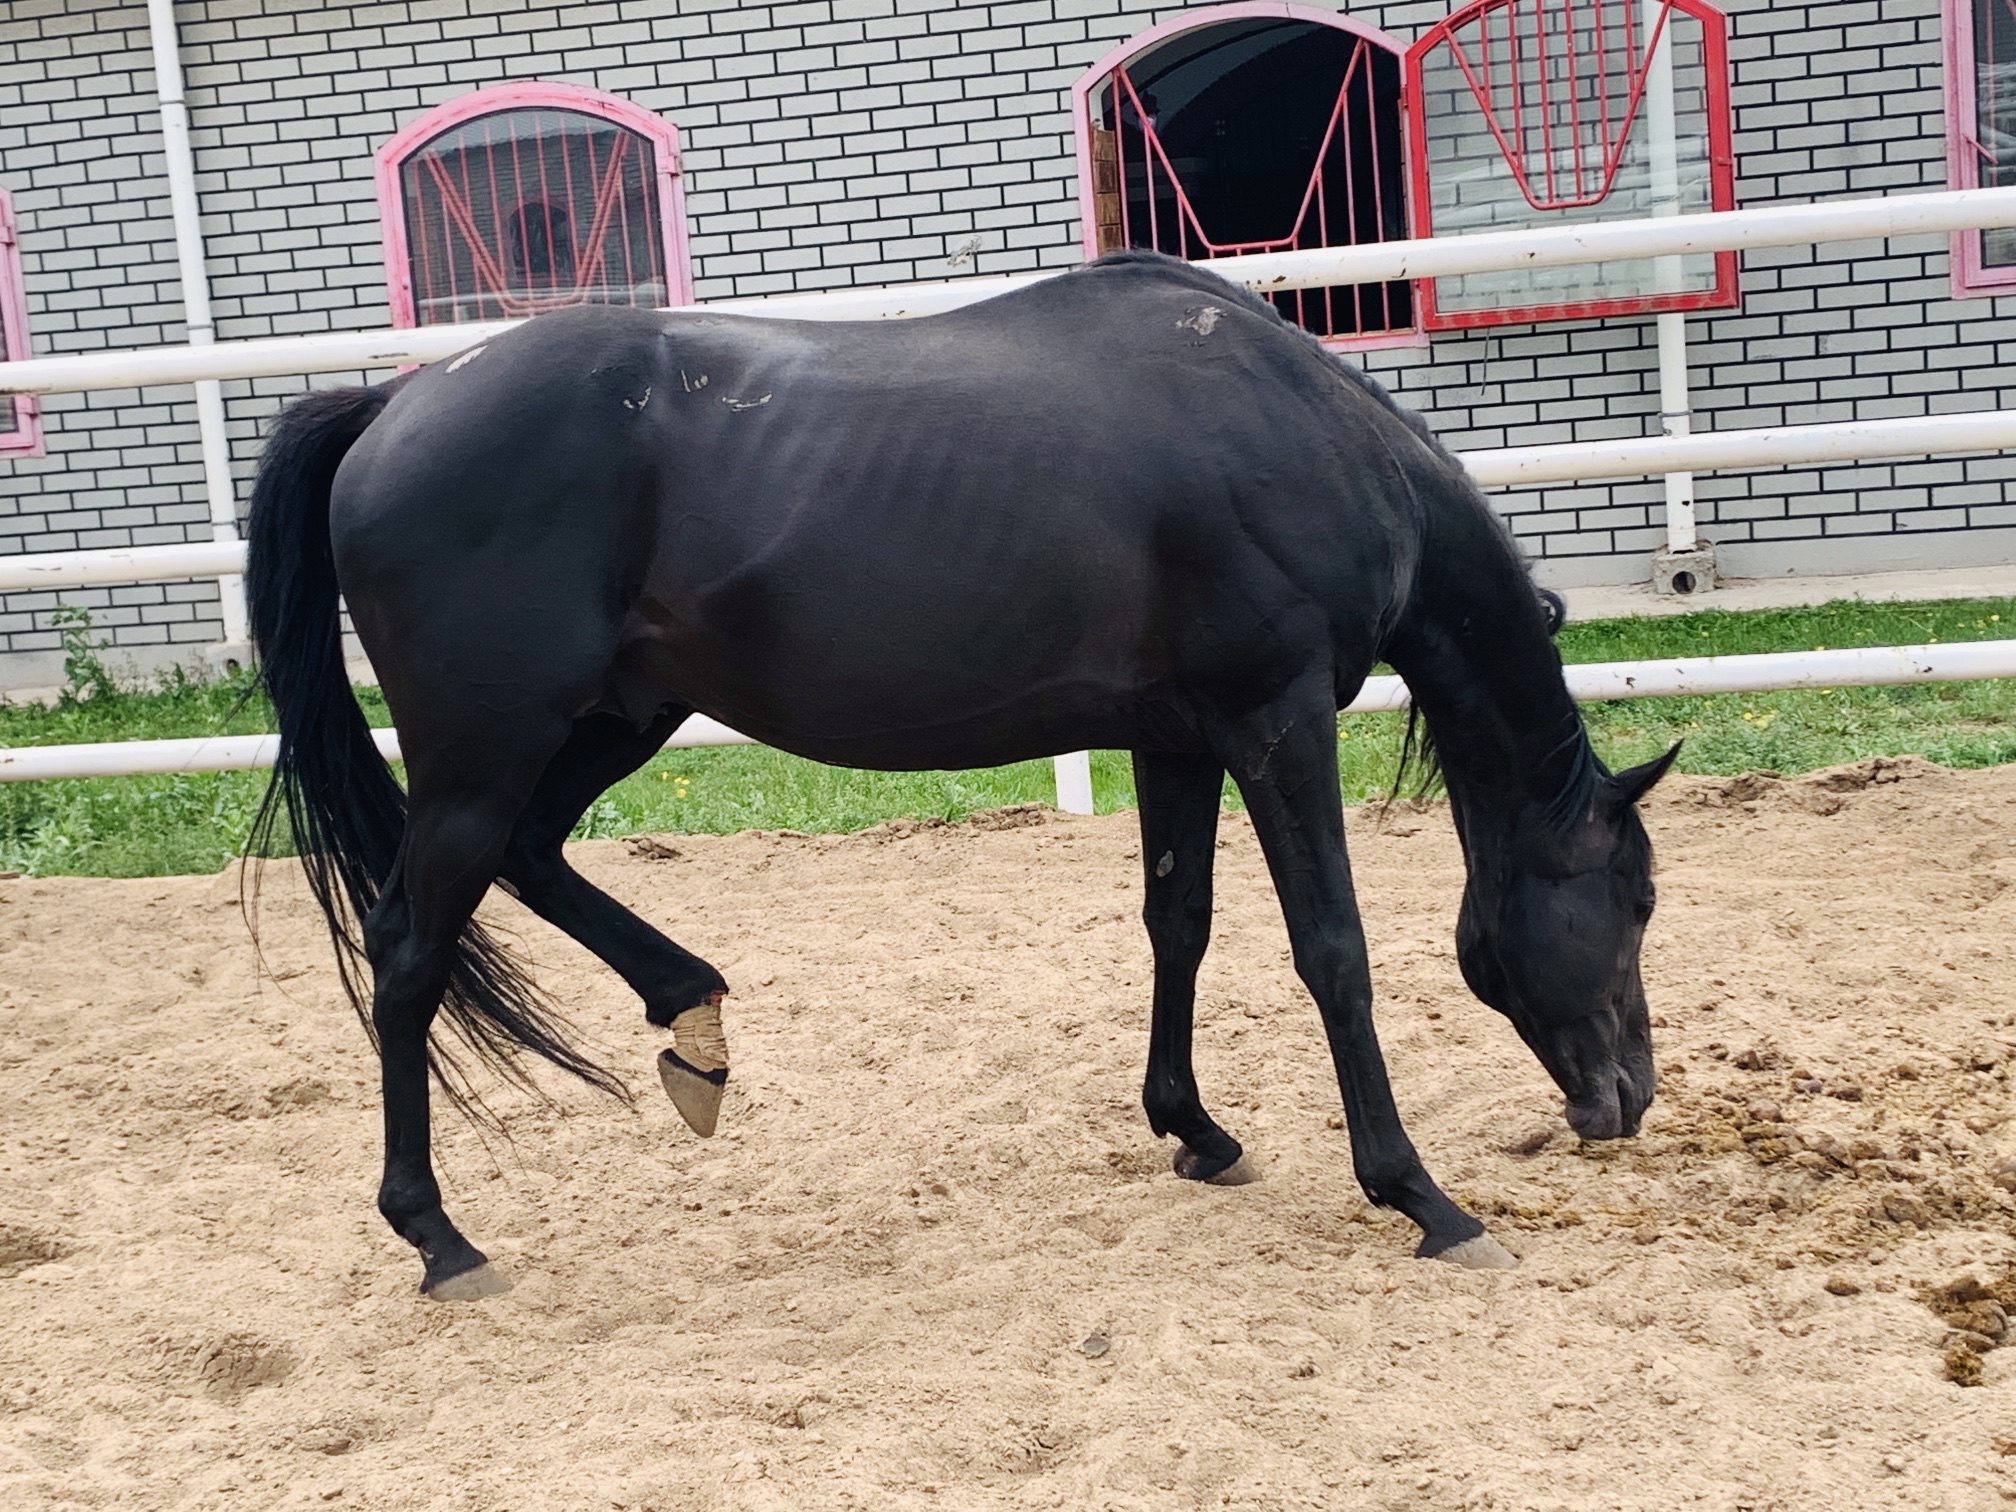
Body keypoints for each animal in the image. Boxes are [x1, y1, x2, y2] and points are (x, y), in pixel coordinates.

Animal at [244, 251, 1676, 1300]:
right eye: (1641, 900)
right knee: (410, 954)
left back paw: (691, 1016)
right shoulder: (1275, 721)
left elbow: (1179, 922)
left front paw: (1193, 1129)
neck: (1305, 433)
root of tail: (391, 408)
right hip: (484, 757)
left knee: (533, 859)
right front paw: (1421, 1196)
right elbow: (1334, 949)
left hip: (612, 723)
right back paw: (439, 1239)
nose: (1628, 1099)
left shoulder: (1177, 736)